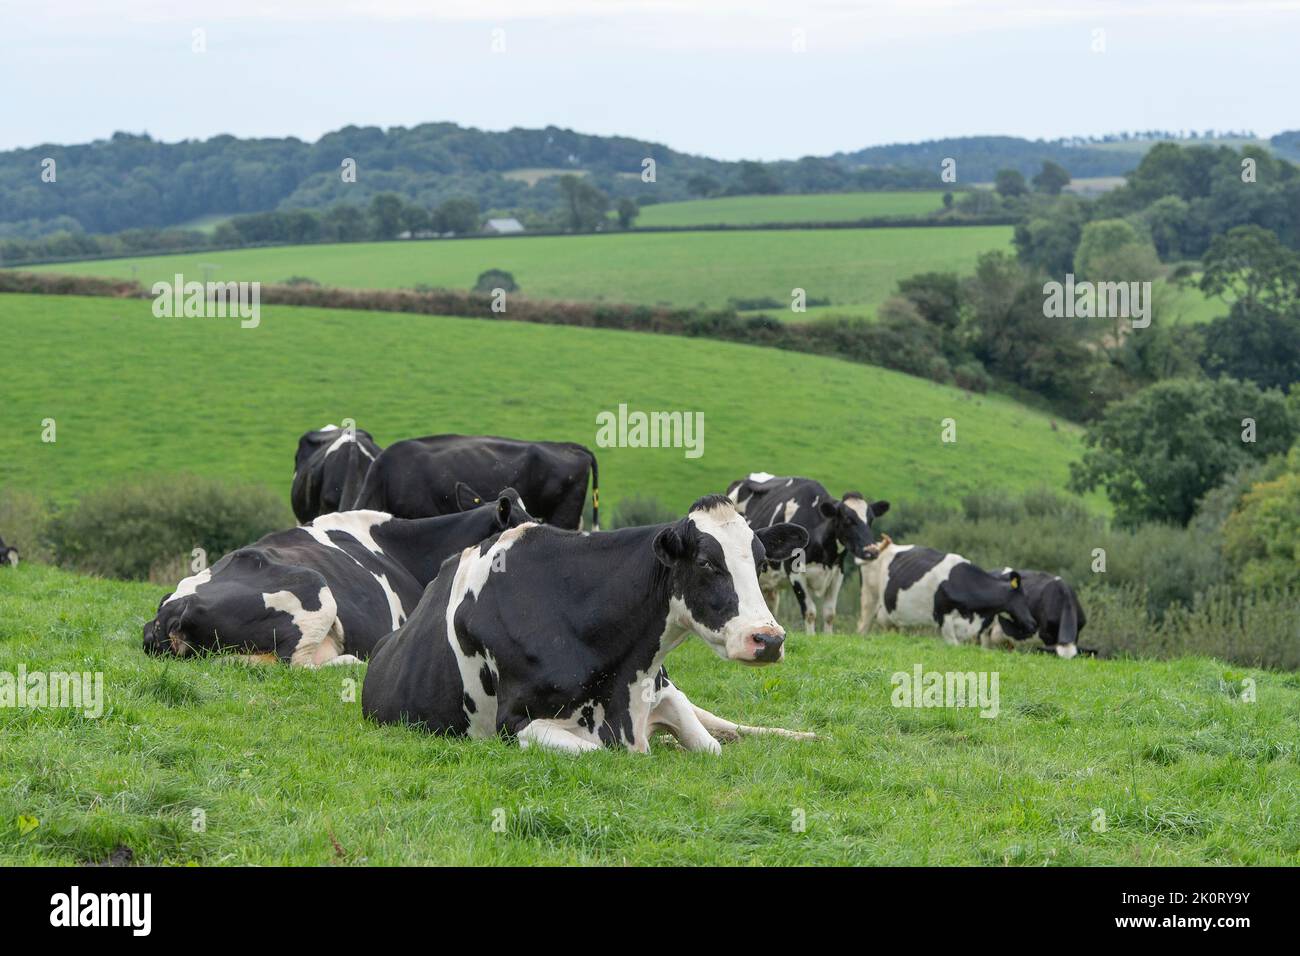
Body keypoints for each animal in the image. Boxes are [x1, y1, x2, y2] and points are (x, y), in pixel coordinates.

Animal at [361, 494, 816, 754]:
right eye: (706, 562)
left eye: (760, 562)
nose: (769, 639)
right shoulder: (516, 723)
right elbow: (597, 753)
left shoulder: (662, 691)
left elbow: (708, 746)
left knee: (725, 725)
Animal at [728, 473, 889, 634]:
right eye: (848, 520)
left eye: (871, 519)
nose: (872, 551)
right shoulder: (795, 572)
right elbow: (810, 612)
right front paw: (811, 636)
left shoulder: (838, 572)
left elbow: (830, 613)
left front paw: (827, 636)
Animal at [857, 535, 1040, 647]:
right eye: (1024, 597)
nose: (1033, 624)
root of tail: (881, 546)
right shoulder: (944, 618)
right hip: (869, 597)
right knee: (863, 625)